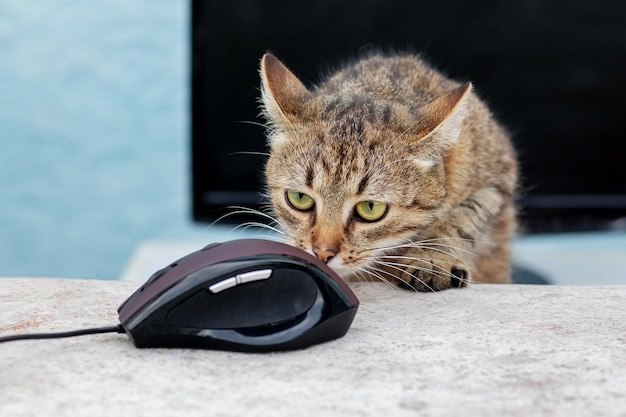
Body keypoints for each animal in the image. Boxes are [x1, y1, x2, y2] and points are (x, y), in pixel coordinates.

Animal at [256, 52, 516, 292]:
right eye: (300, 198)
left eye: (370, 208)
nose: (321, 253)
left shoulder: (499, 181)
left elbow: (463, 218)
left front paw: (430, 258)